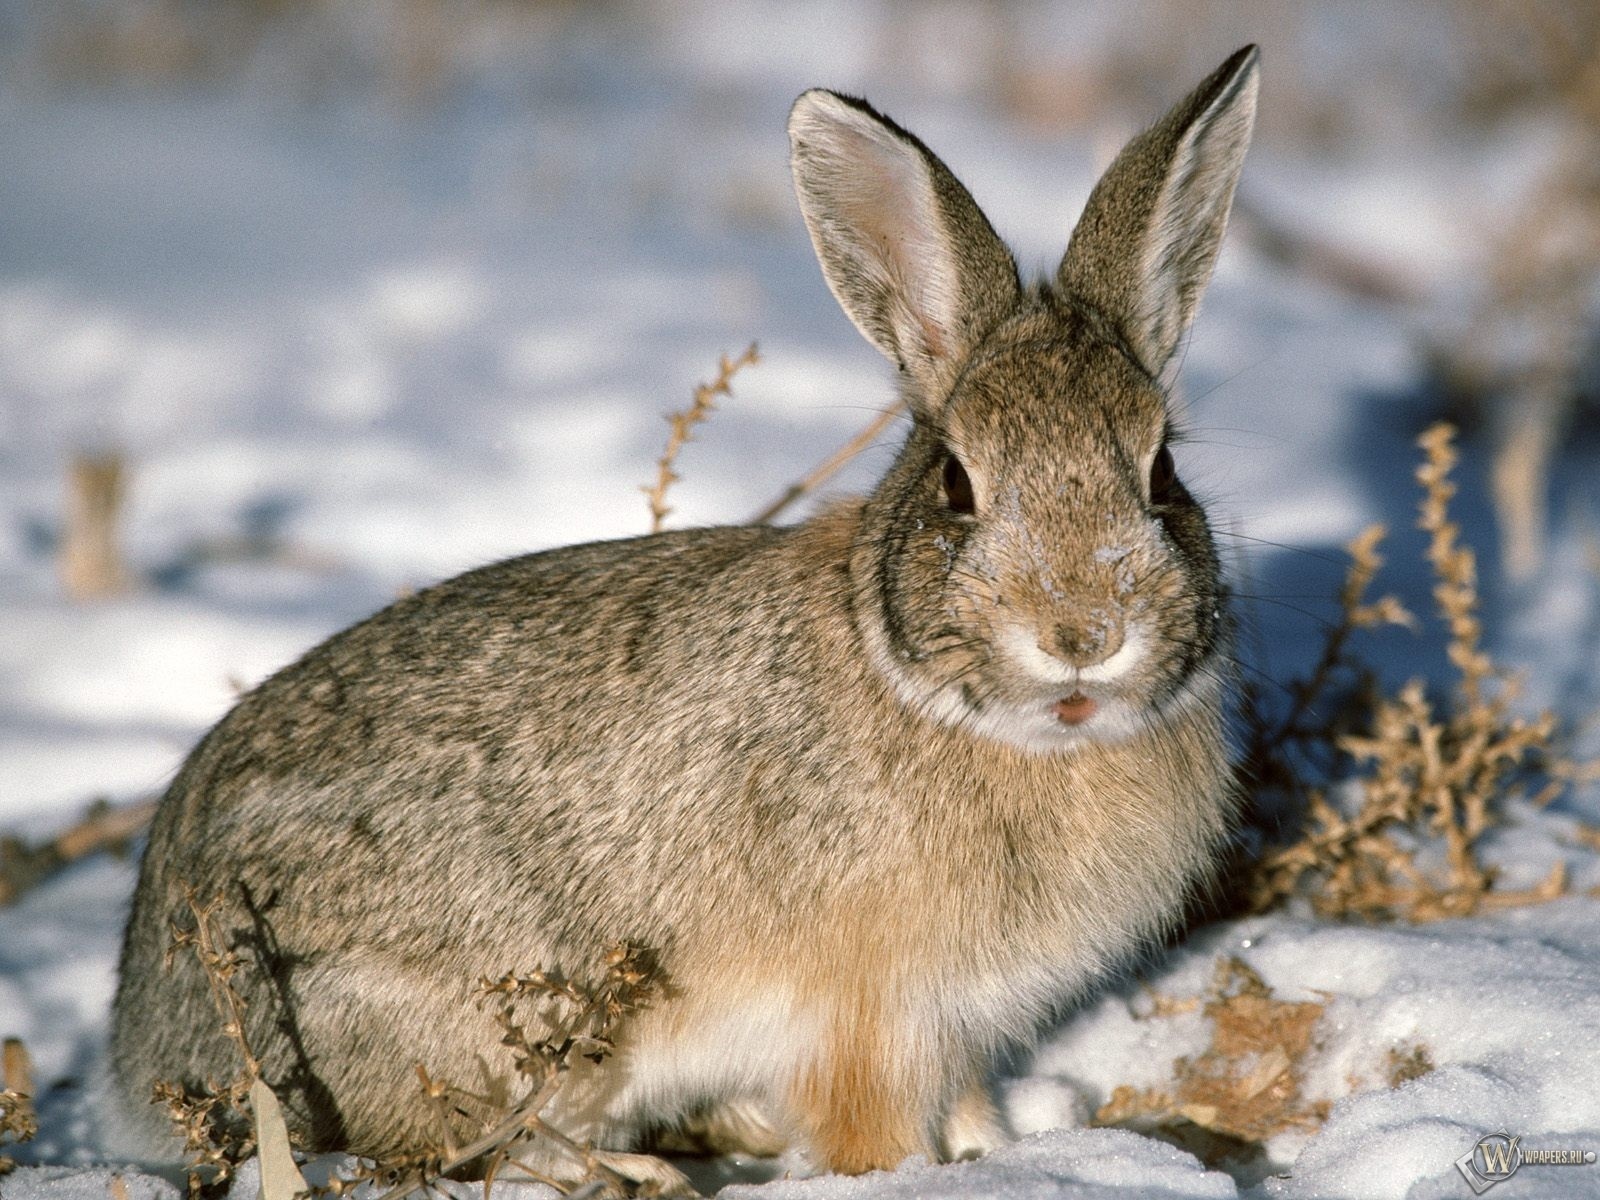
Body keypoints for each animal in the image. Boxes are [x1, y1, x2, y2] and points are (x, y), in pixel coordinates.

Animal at [109, 44, 1260, 1196]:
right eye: (956, 484)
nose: (1083, 634)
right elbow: (871, 1131)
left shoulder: (959, 1027)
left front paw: (999, 1152)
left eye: (1161, 474)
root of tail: (144, 1038)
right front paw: (908, 1173)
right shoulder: (868, 1019)